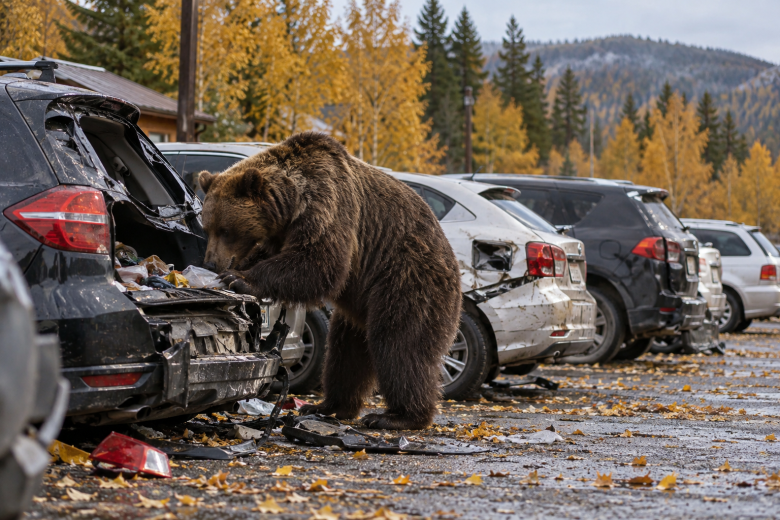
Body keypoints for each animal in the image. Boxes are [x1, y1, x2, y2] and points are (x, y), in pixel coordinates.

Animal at [197, 132, 461, 430]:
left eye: (225, 230)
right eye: (206, 227)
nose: (210, 263)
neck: (290, 204)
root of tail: (454, 268)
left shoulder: (329, 204)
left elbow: (319, 261)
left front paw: (240, 278)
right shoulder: (281, 231)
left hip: (406, 280)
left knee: (399, 342)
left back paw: (398, 416)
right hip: (358, 307)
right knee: (345, 352)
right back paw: (328, 405)